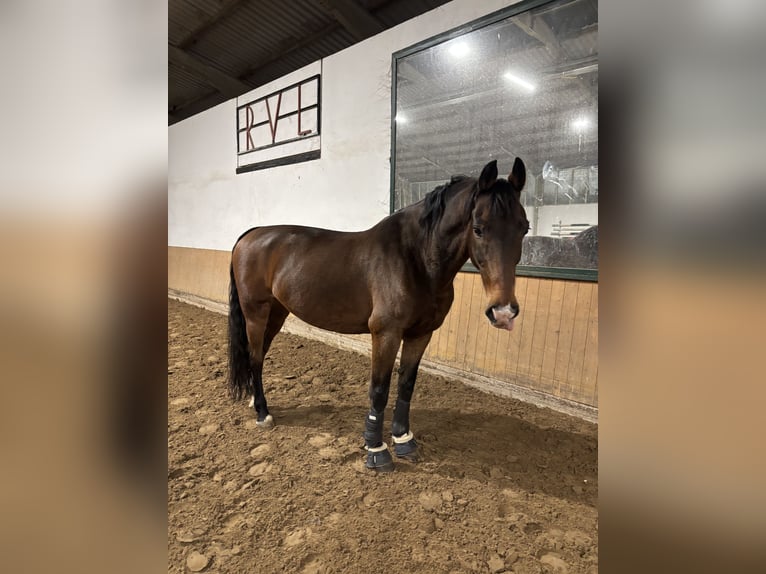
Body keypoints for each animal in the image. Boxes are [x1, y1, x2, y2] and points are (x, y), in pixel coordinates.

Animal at [228, 157, 529, 472]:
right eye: (479, 229)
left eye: (524, 228)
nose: (503, 312)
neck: (415, 259)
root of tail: (251, 235)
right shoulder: (386, 334)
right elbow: (379, 389)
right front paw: (376, 449)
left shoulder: (421, 334)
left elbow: (406, 385)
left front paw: (404, 440)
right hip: (256, 313)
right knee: (255, 357)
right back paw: (262, 413)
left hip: (276, 313)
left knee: (258, 356)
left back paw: (255, 401)